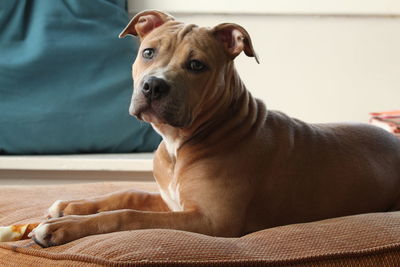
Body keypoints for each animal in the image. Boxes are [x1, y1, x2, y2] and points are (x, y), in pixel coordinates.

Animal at [30, 10, 400, 249]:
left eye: (197, 65)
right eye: (148, 52)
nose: (153, 86)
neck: (180, 143)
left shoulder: (210, 220)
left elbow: (128, 215)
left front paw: (62, 227)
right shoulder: (173, 202)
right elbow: (128, 195)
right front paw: (71, 207)